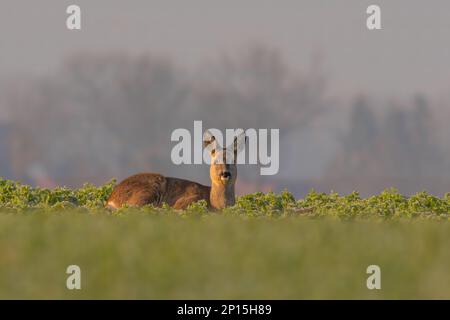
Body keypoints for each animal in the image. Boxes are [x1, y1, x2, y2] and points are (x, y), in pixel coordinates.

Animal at [105, 130, 246, 210]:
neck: (216, 205)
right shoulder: (187, 201)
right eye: (215, 161)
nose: (225, 173)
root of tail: (110, 199)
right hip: (149, 190)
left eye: (233, 160)